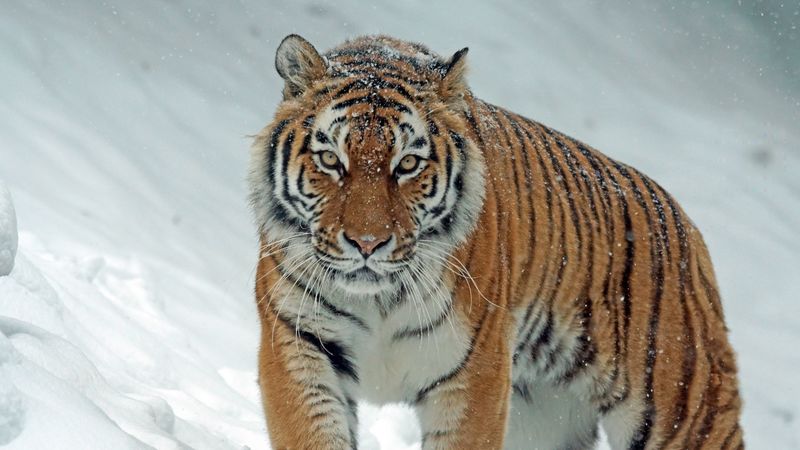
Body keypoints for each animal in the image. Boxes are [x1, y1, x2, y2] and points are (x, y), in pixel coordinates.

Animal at [248, 34, 743, 450]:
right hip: (543, 419)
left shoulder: (475, 375)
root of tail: (688, 229)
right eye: (331, 159)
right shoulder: (298, 343)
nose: (367, 244)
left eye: (407, 164)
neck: (378, 301)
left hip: (684, 413)